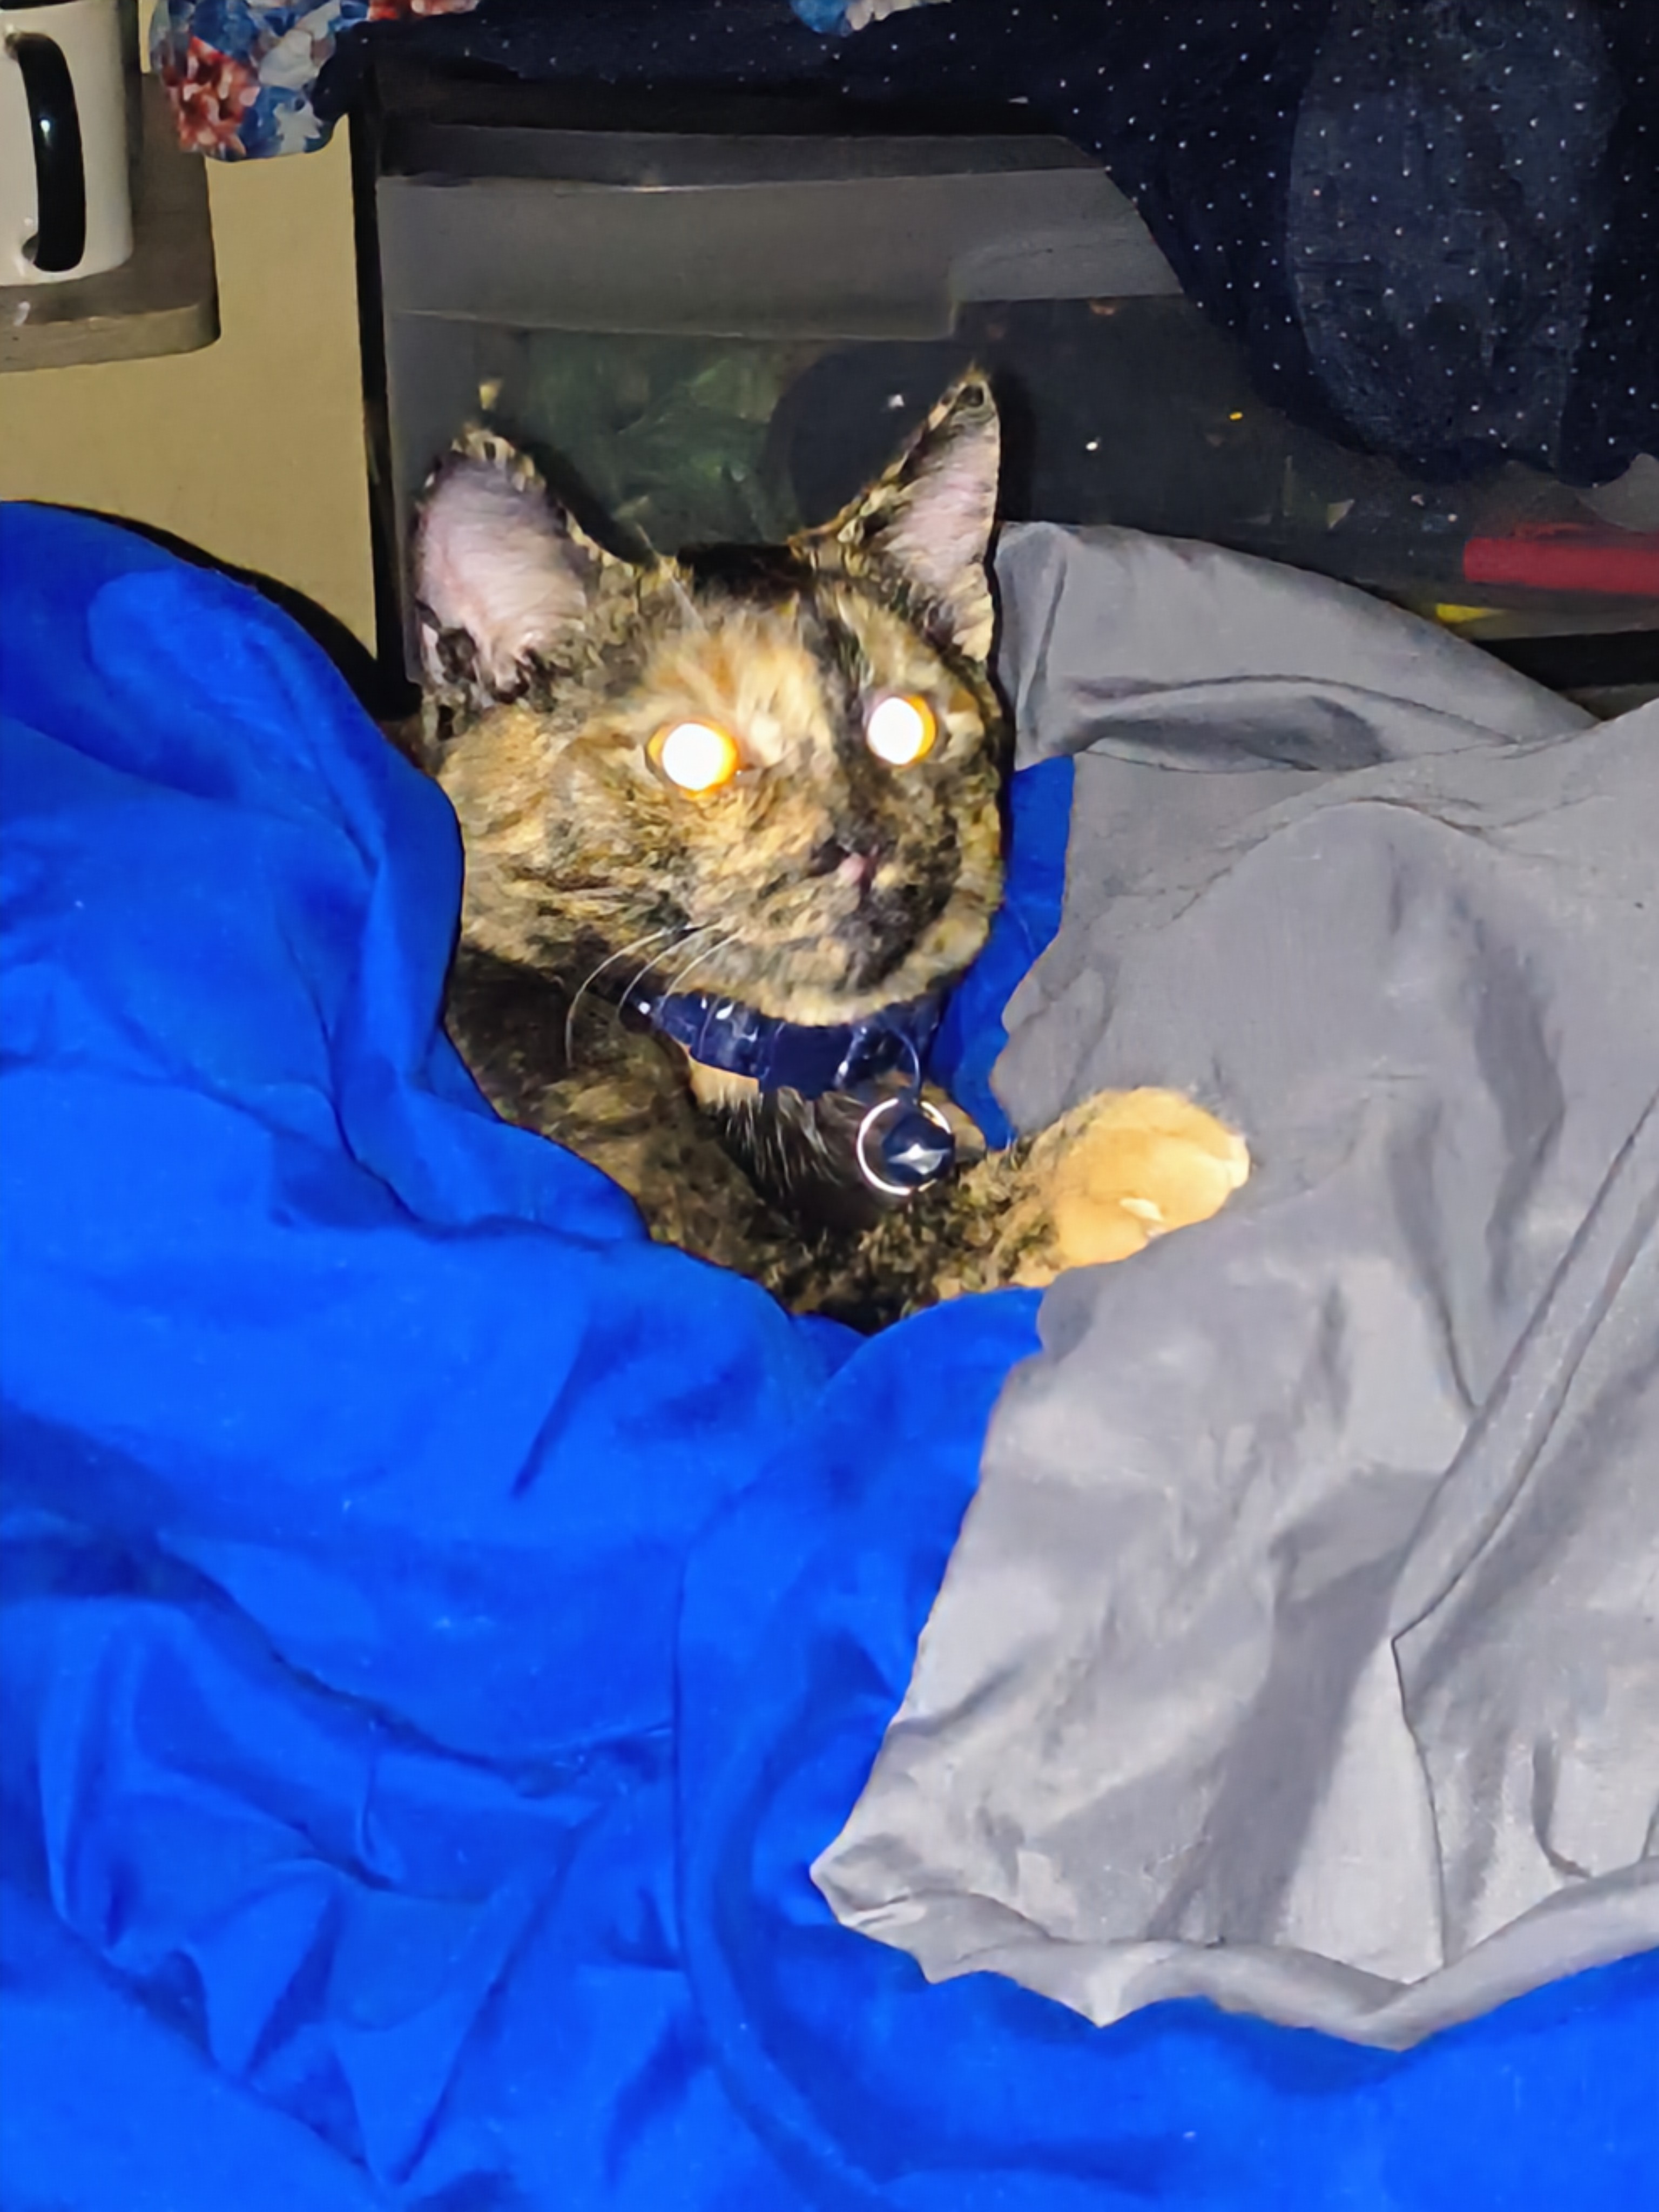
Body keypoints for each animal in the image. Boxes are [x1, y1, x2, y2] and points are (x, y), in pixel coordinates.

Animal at [412, 372, 1248, 1328]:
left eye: (903, 726)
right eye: (691, 756)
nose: (860, 838)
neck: (774, 1061)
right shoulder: (753, 1285)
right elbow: (919, 1240)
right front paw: (1120, 1154)